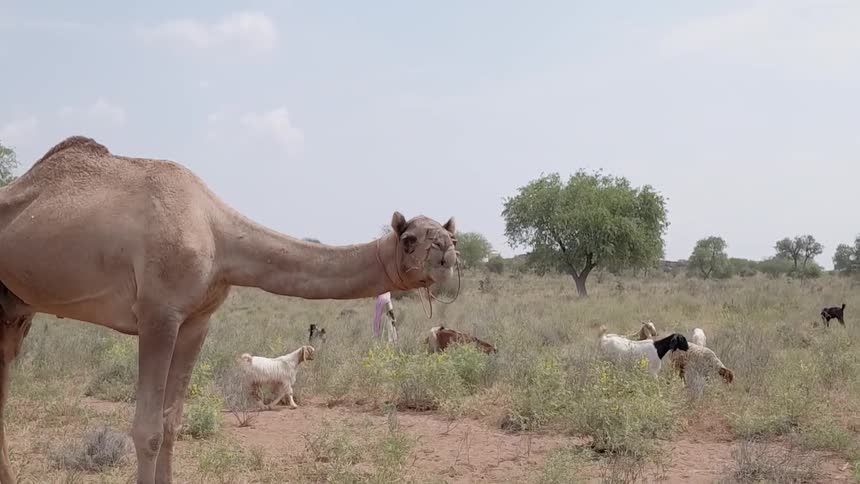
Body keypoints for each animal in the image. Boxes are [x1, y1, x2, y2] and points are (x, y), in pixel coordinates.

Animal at [0, 136, 458, 484]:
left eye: (449, 237)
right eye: (410, 240)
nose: (449, 260)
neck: (216, 233)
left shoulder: (196, 320)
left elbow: (171, 423)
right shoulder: (158, 314)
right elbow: (147, 429)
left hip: (16, 308)